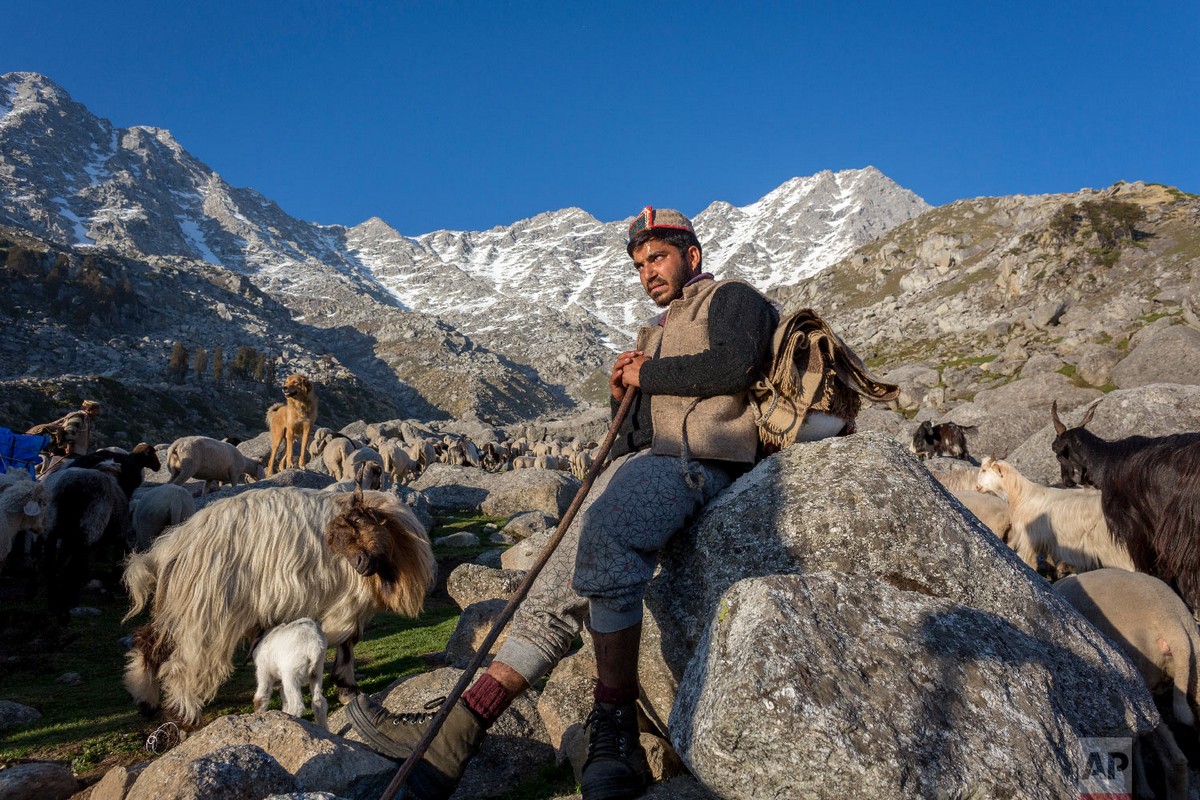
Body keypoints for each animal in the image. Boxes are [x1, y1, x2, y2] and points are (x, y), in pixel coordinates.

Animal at [120, 484, 436, 729]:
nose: (358, 564)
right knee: (183, 662)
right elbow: (348, 641)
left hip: (181, 601)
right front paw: (347, 687)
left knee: (150, 640)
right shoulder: (348, 601)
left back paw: (145, 699)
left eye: (358, 524)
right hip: (206, 608)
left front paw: (346, 688)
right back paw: (185, 714)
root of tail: (173, 543)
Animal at [974, 455, 1132, 575]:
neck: (1022, 496)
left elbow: (1026, 560)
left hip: (1112, 547)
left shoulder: (1029, 538)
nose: (977, 487)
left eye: (984, 470)